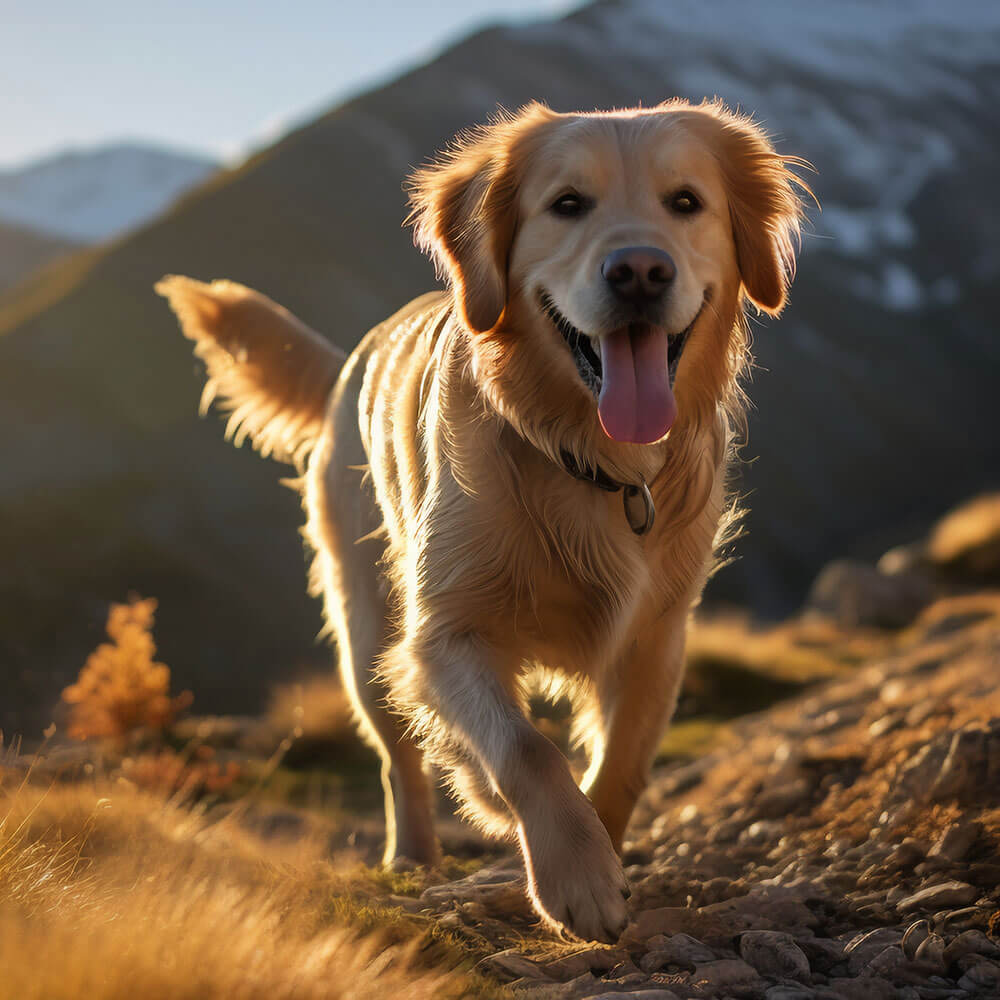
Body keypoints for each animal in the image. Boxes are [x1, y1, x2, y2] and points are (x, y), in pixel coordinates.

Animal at [158, 97, 812, 940]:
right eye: (567, 204)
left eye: (686, 202)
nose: (639, 271)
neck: (588, 460)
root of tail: (348, 362)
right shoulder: (443, 634)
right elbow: (525, 749)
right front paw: (571, 874)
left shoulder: (657, 635)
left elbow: (623, 765)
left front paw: (598, 854)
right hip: (366, 629)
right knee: (398, 757)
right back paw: (415, 853)